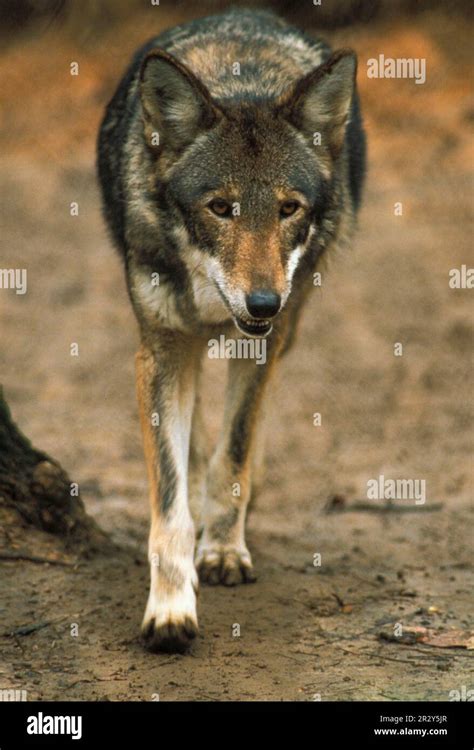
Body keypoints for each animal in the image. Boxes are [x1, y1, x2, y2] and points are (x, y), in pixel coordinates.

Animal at [97, 8, 366, 653]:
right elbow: (170, 497)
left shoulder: (268, 336)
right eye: (220, 208)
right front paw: (171, 607)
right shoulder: (162, 349)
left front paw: (223, 547)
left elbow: (236, 447)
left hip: (291, 321)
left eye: (289, 208)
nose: (263, 301)